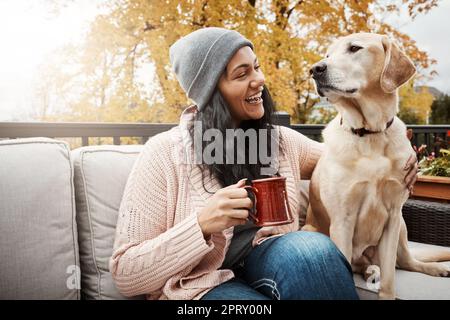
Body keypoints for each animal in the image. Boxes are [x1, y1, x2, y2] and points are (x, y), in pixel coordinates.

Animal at [302, 33, 450, 298]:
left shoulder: (392, 216)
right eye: (328, 55)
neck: (369, 133)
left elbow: (390, 275)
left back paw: (433, 268)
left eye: (354, 48)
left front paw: (387, 294)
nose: (315, 69)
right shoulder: (342, 221)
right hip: (312, 230)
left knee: (406, 261)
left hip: (401, 228)